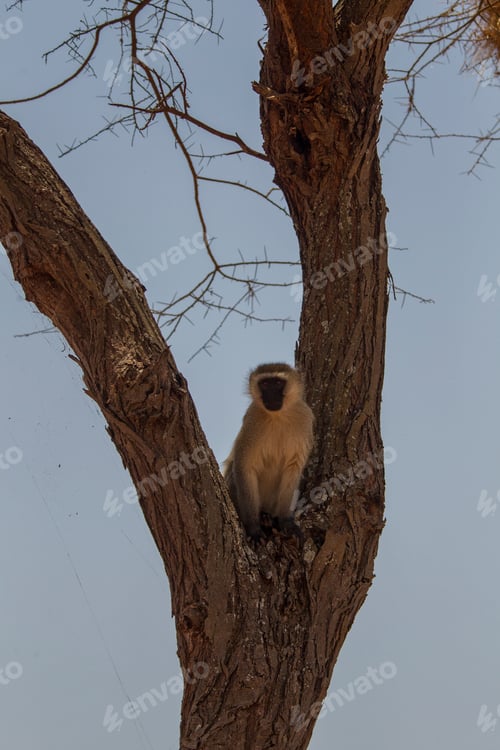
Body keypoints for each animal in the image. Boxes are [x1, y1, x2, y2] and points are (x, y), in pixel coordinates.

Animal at [223, 363, 314, 542]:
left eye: (278, 383)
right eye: (265, 384)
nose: (271, 396)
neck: (278, 416)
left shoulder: (304, 420)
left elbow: (293, 468)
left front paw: (285, 521)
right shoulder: (252, 421)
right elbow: (243, 466)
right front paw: (253, 528)